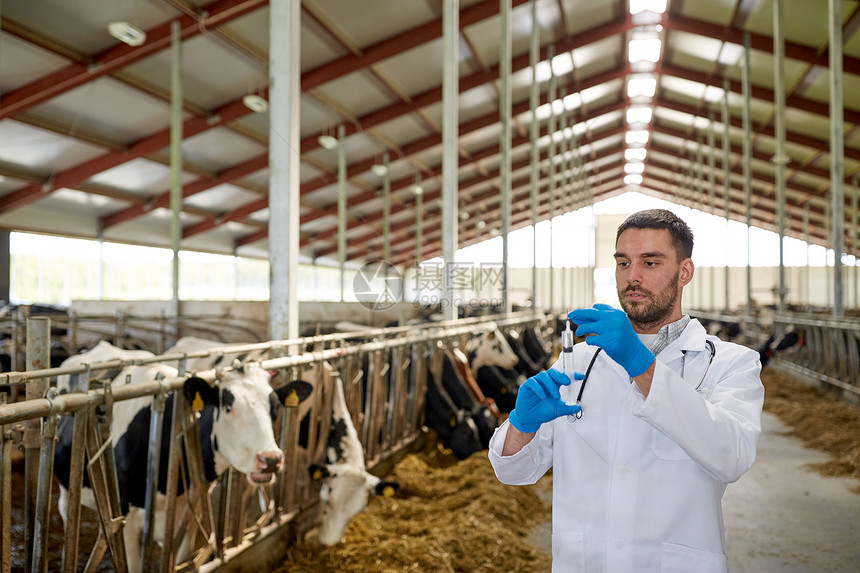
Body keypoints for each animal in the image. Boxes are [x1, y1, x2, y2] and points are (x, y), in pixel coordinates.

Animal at [53, 346, 312, 568]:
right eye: (228, 407)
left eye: (275, 407)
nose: (271, 459)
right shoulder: (126, 519)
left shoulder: (191, 509)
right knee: (66, 511)